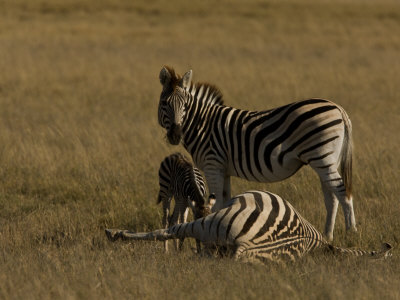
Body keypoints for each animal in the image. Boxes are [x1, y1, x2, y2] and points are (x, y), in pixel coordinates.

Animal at [158, 66, 354, 241]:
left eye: (184, 105)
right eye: (165, 104)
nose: (175, 135)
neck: (202, 124)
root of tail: (339, 108)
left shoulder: (212, 165)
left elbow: (217, 203)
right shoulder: (223, 169)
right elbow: (224, 200)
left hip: (322, 158)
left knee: (342, 192)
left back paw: (351, 233)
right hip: (326, 160)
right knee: (332, 197)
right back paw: (328, 235)